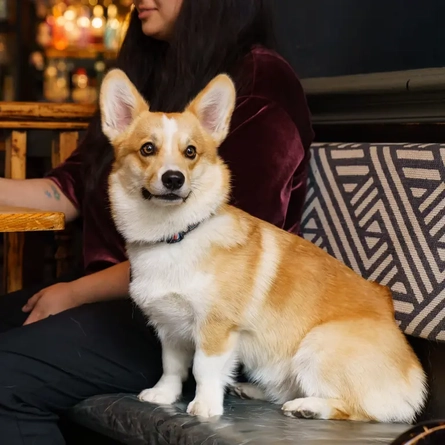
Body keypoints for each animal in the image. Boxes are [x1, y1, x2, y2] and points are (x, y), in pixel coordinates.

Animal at [100, 67, 426, 422]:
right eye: (147, 149)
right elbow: (172, 367)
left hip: (317, 345)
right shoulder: (170, 328)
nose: (174, 179)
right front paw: (163, 394)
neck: (176, 235)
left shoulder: (216, 328)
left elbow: (203, 370)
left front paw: (205, 407)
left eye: (190, 152)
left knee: (355, 410)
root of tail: (414, 381)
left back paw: (308, 407)